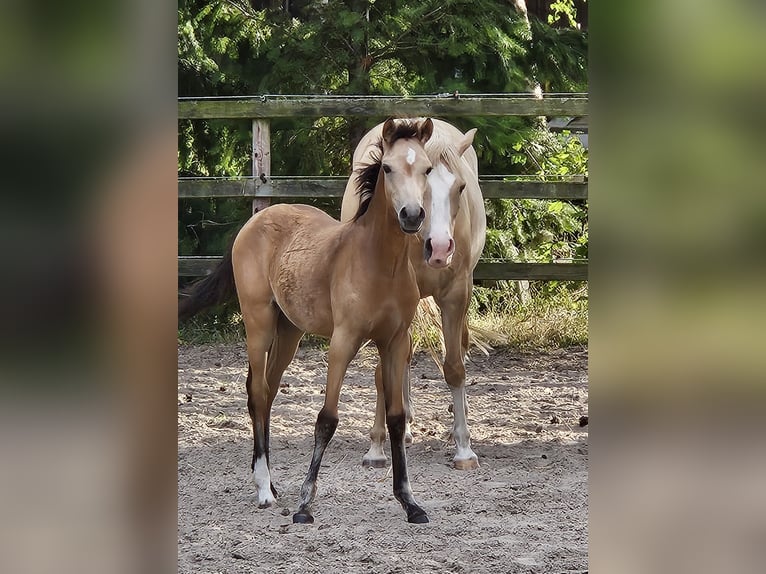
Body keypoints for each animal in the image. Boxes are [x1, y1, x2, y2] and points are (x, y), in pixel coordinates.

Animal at [176, 119, 436, 524]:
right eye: (389, 168)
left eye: (426, 168)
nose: (412, 215)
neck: (380, 263)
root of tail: (255, 221)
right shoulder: (343, 341)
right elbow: (326, 419)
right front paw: (304, 505)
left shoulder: (395, 342)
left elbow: (396, 418)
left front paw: (409, 502)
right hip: (259, 324)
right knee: (258, 392)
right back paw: (264, 489)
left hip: (289, 332)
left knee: (266, 391)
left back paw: (269, 483)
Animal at [340, 118, 486, 472]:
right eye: (389, 172)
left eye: (460, 188)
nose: (441, 248)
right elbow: (384, 371)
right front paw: (377, 446)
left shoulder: (455, 295)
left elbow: (454, 367)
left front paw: (464, 448)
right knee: (400, 360)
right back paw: (402, 427)